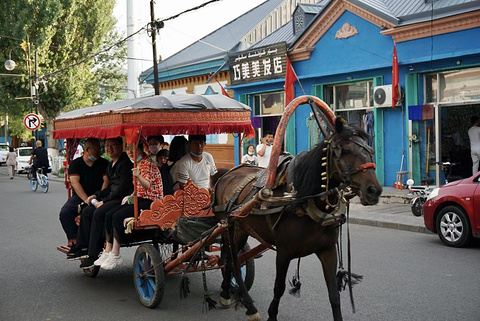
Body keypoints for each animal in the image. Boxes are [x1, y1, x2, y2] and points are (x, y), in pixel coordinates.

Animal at [214, 118, 382, 320]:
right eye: (346, 151)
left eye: (370, 150)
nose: (374, 190)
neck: (305, 200)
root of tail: (227, 173)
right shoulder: (284, 252)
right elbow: (278, 288)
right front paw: (271, 315)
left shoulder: (328, 250)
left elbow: (334, 294)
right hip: (233, 229)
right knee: (232, 261)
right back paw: (245, 304)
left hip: (236, 230)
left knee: (230, 260)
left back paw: (227, 293)